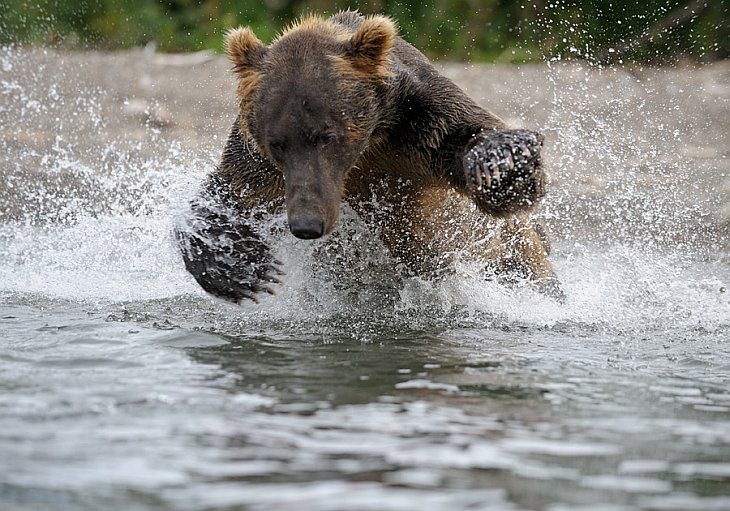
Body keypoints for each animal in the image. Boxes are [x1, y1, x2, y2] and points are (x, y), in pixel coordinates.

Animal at [173, 11, 560, 304]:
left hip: (512, 251)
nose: (306, 224)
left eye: (327, 136)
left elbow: (470, 139)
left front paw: (503, 162)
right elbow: (229, 191)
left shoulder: (418, 121)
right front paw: (242, 266)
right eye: (277, 143)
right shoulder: (259, 159)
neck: (368, 146)